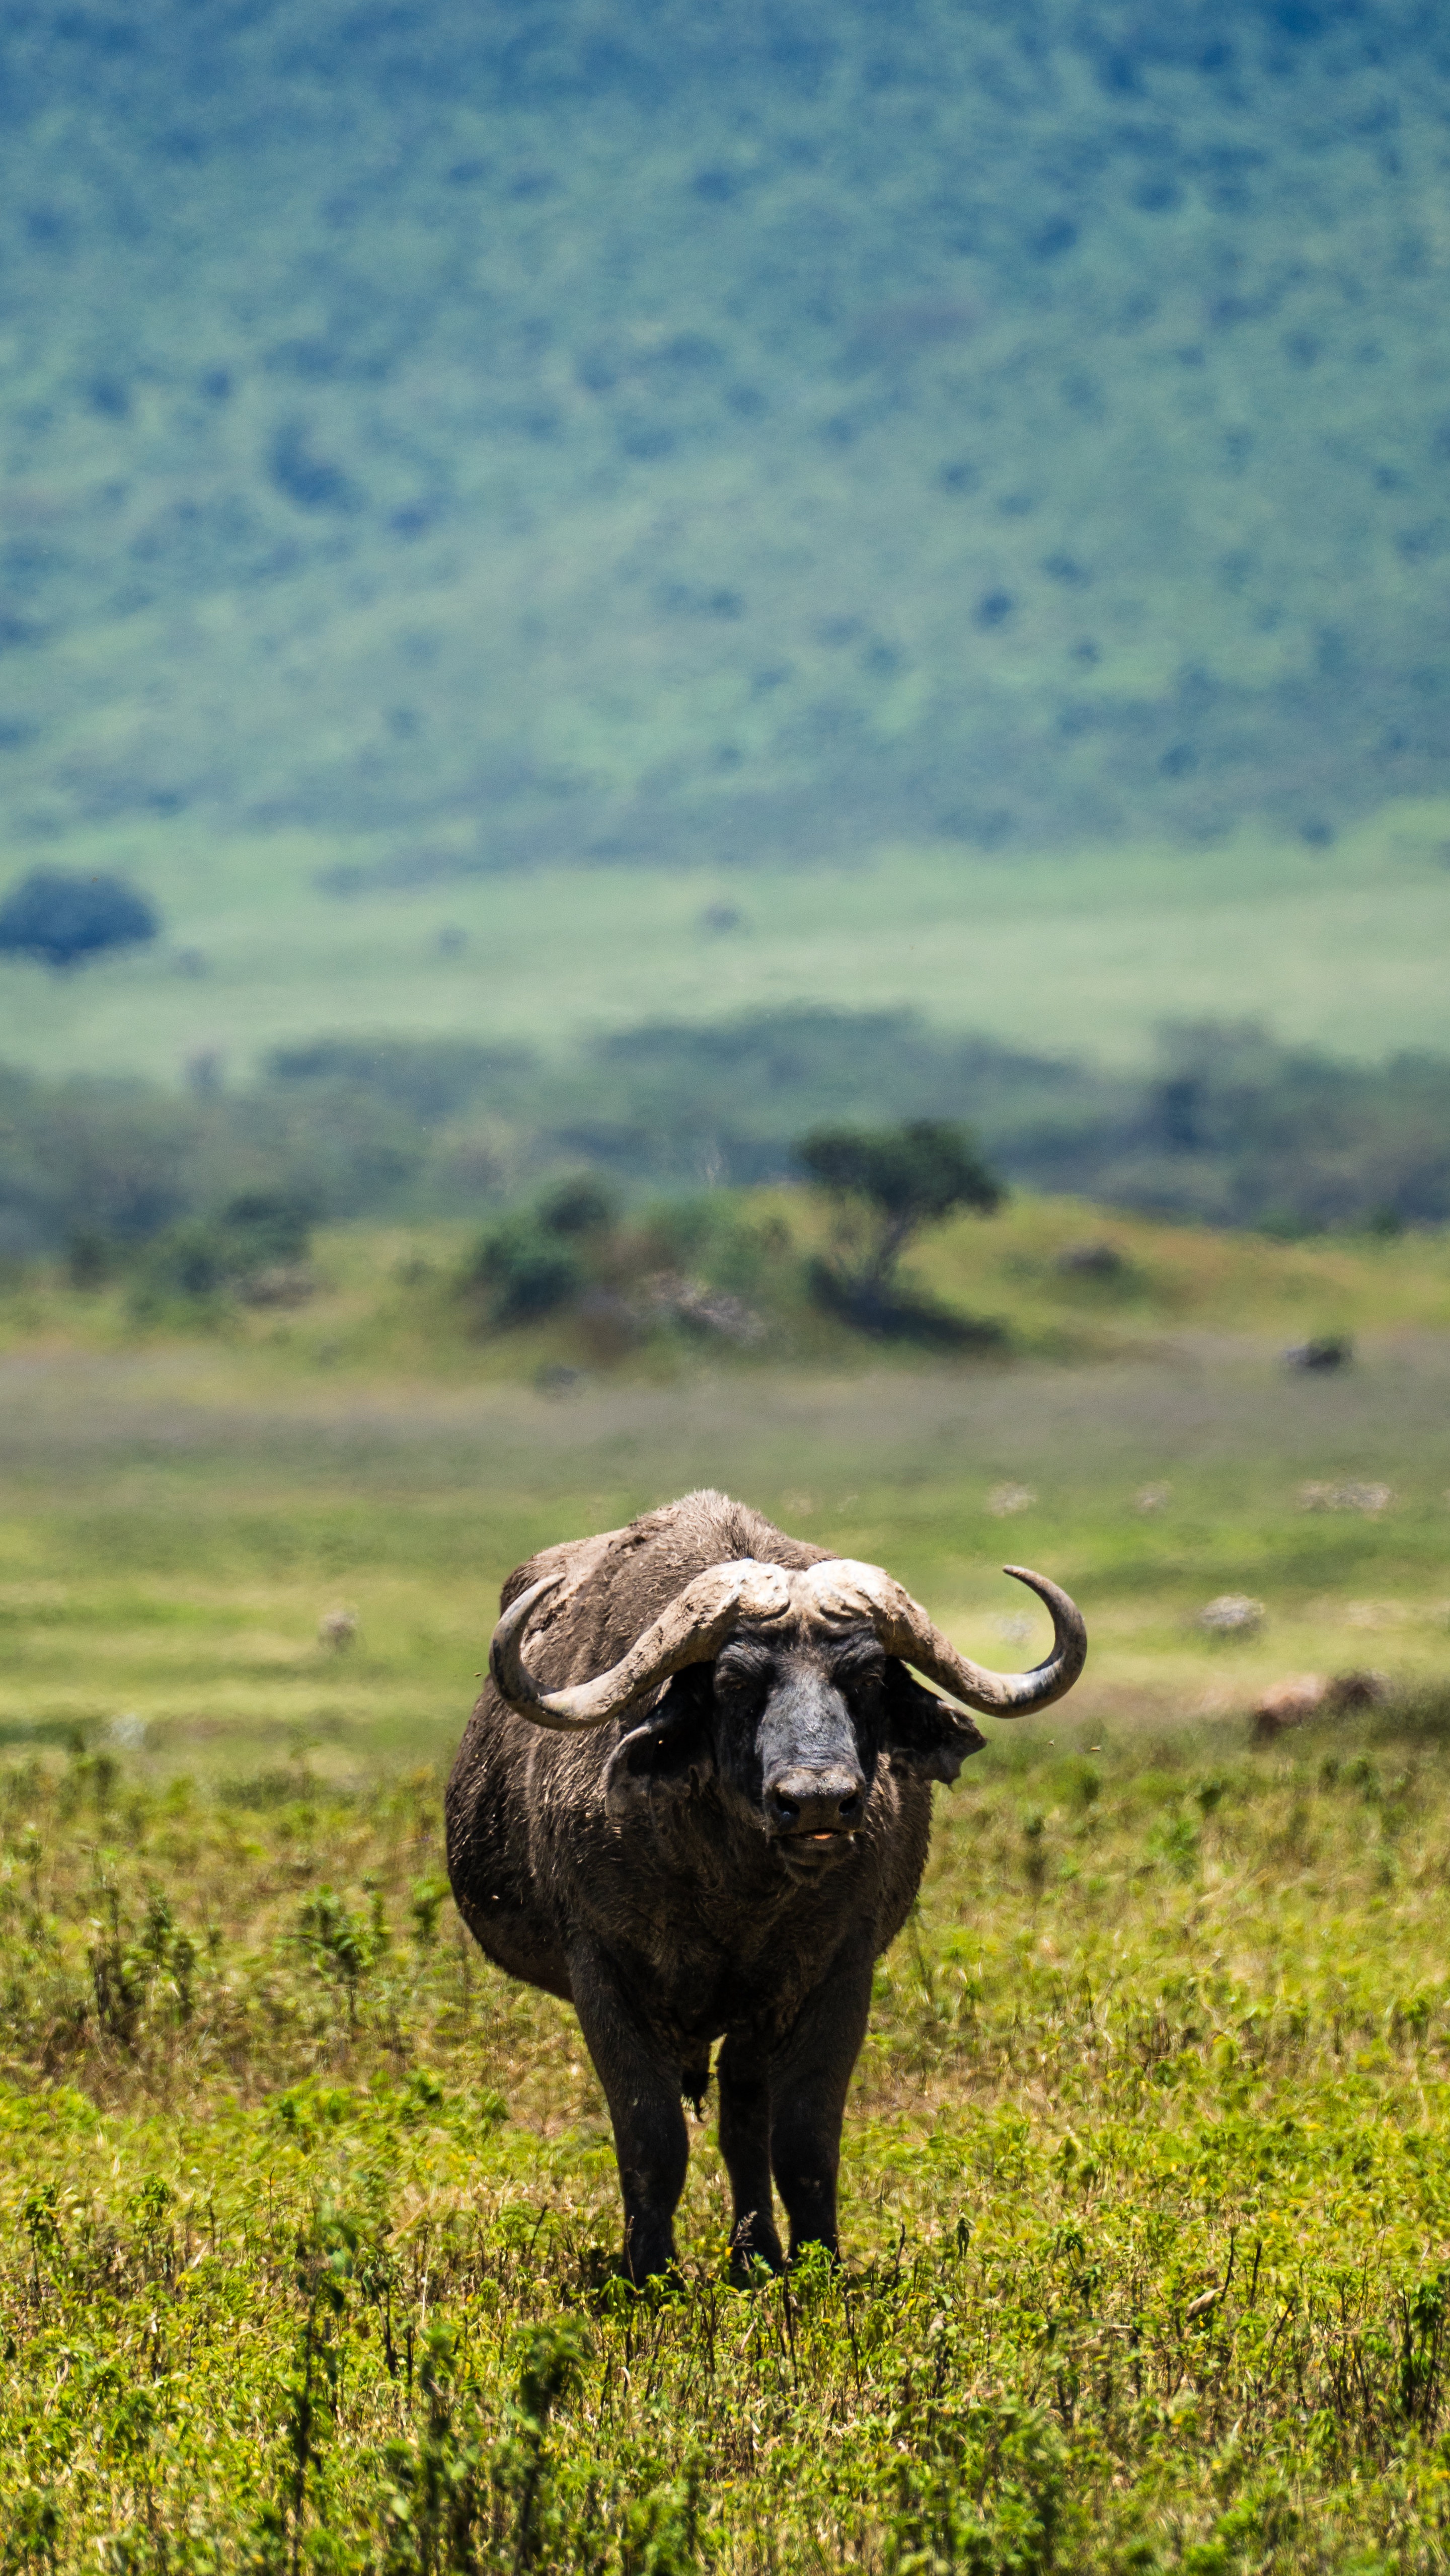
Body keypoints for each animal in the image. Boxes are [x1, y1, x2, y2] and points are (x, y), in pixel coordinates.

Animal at [448, 1484, 1082, 2287]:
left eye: (865, 1678)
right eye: (735, 1681)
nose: (816, 1801)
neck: (735, 1888)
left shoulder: (835, 1973)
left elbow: (805, 2136)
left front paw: (817, 2261)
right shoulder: (601, 1970)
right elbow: (650, 2136)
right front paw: (651, 2273)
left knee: (744, 2118)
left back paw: (756, 2258)